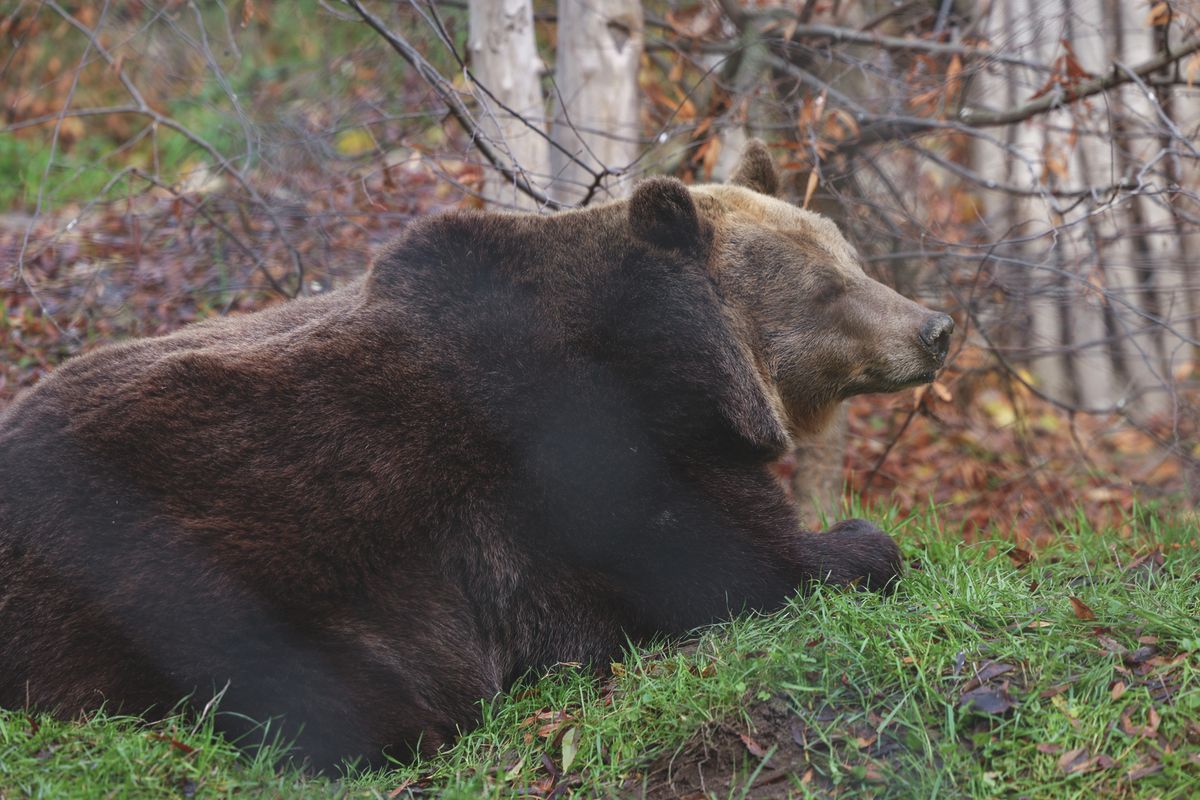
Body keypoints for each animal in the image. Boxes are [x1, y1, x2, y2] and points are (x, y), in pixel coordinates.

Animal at [0, 142, 955, 767]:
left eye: (849, 253)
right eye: (826, 284)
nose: (936, 327)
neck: (681, 366)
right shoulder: (581, 458)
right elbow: (732, 564)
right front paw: (863, 542)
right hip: (161, 554)